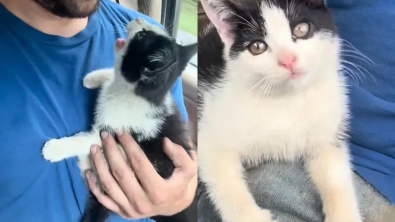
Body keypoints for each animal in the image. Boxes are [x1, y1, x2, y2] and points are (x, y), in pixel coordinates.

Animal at [41, 17, 198, 222]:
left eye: (142, 35)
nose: (138, 18)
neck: (142, 96)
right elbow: (112, 76)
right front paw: (93, 78)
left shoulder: (116, 133)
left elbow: (86, 140)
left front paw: (55, 148)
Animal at [200, 0, 364, 222]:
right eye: (257, 47)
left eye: (301, 29)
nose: (288, 60)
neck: (287, 100)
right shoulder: (211, 130)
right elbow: (224, 179)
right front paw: (251, 217)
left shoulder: (329, 132)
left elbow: (335, 176)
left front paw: (344, 215)